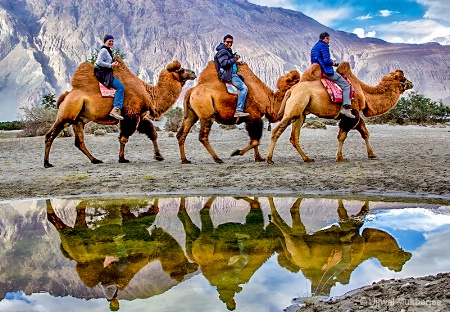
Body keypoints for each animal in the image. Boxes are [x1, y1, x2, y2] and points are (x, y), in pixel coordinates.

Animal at [43, 57, 195, 167]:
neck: (149, 93)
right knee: (50, 135)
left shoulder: (139, 116)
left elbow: (152, 132)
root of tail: (66, 96)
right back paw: (47, 163)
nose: (193, 73)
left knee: (79, 141)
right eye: (181, 70)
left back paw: (95, 160)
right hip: (68, 113)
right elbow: (124, 137)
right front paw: (122, 158)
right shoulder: (131, 115)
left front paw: (158, 156)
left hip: (79, 119)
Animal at [266, 60, 414, 163]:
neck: (364, 92)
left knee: (294, 137)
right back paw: (269, 159)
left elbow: (365, 133)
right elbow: (342, 135)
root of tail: (291, 91)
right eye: (402, 78)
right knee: (276, 131)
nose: (411, 83)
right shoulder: (352, 113)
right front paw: (340, 158)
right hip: (294, 108)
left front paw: (372, 154)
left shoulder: (356, 114)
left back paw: (307, 158)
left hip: (300, 114)